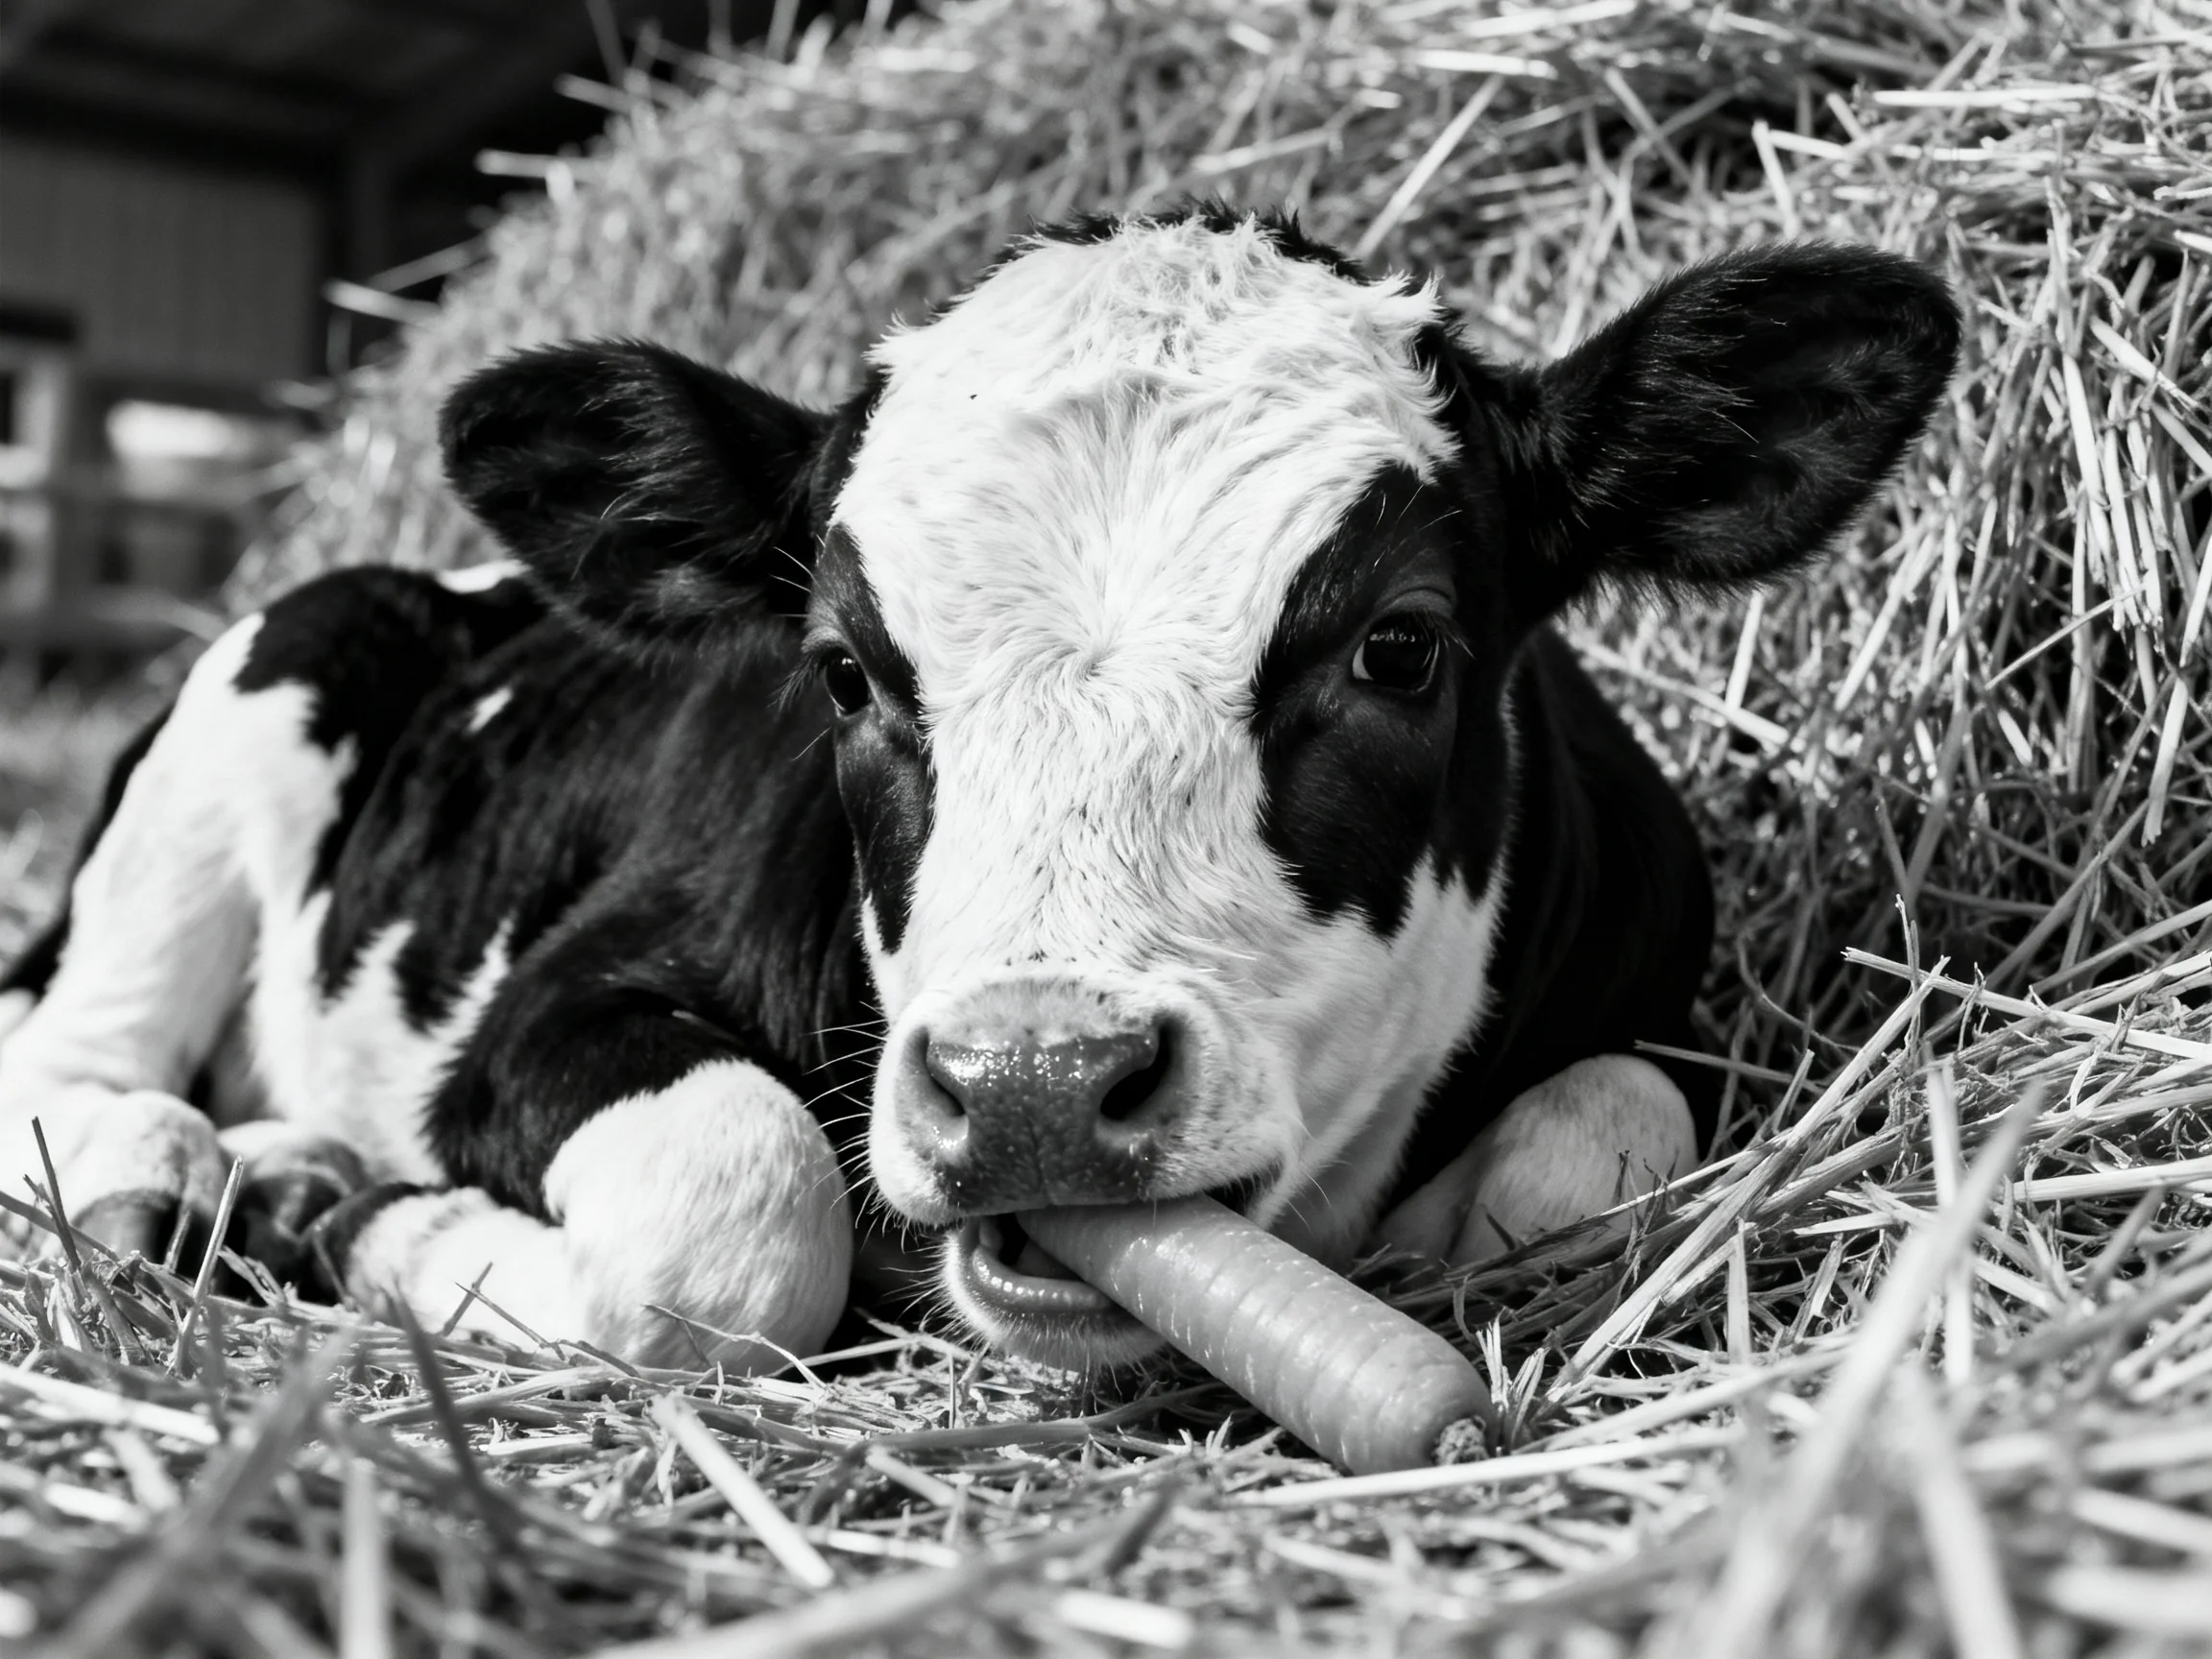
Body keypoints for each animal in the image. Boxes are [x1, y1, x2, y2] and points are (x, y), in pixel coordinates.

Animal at [0, 209, 1957, 1372]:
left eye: (1400, 648)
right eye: (842, 671)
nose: (1034, 1085)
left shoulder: (1651, 997)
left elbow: (1593, 1142)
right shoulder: (548, 1010)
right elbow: (743, 1211)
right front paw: (395, 1228)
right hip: (255, 696)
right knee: (64, 1052)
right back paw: (201, 1178)